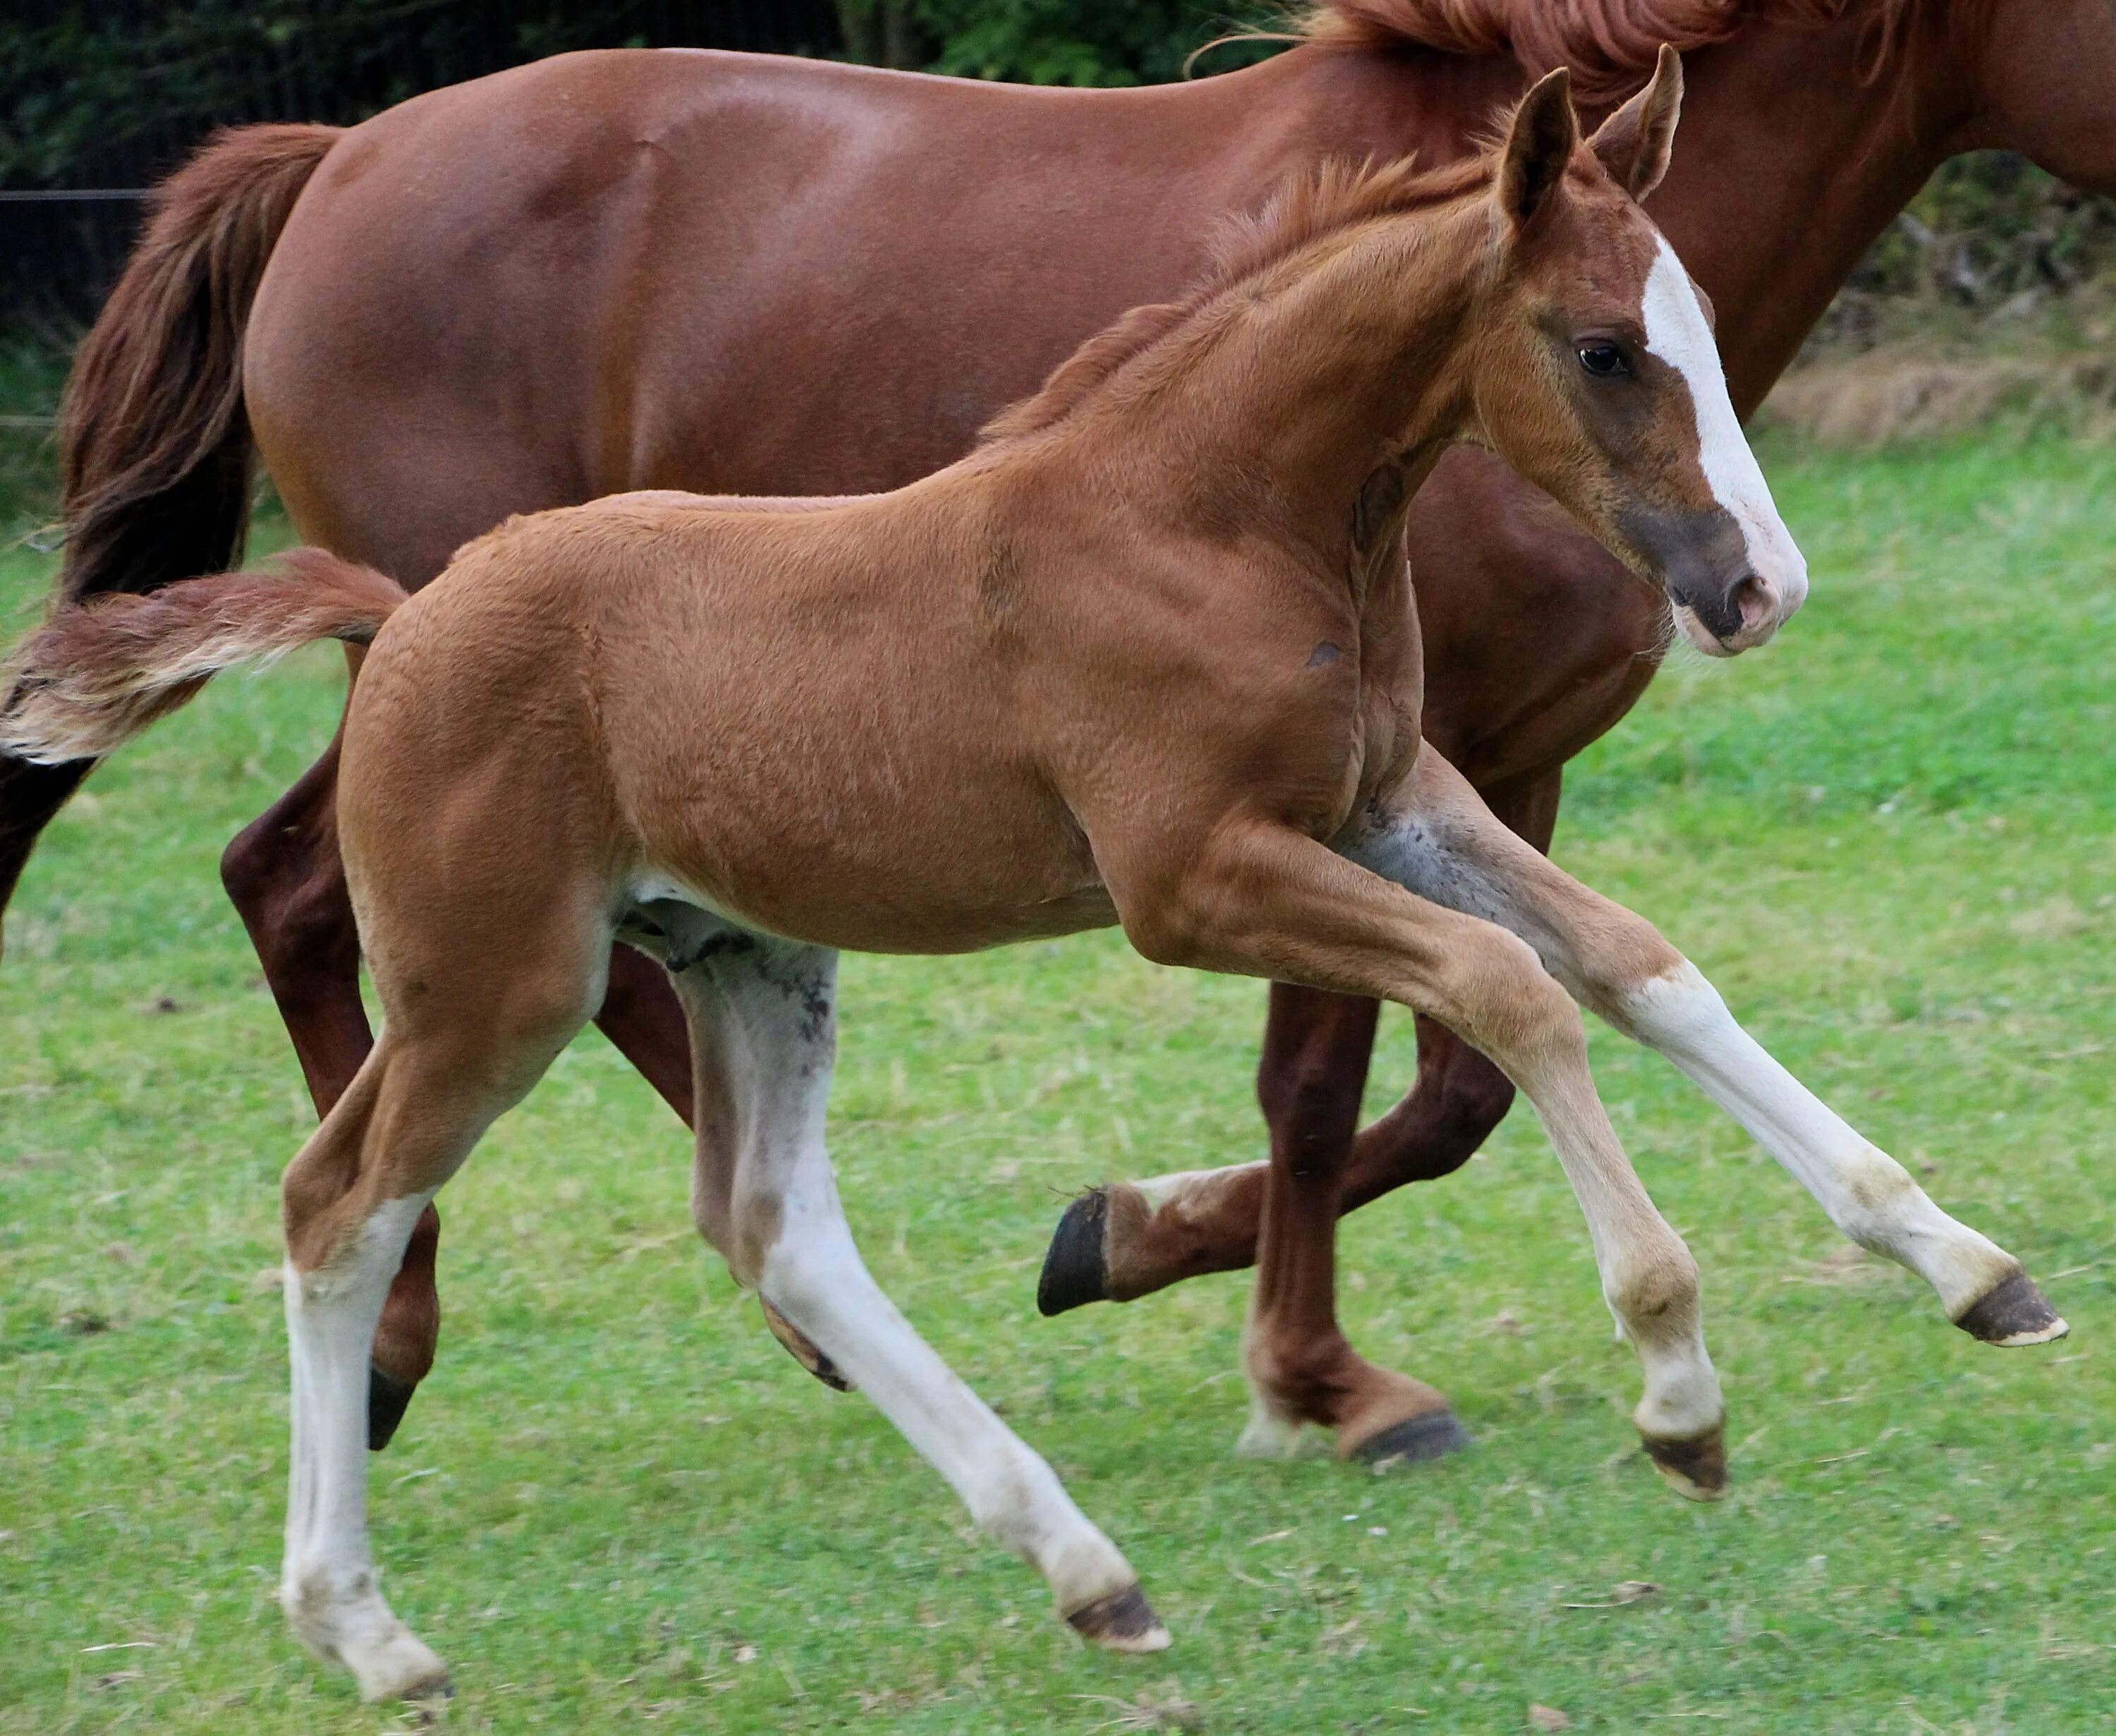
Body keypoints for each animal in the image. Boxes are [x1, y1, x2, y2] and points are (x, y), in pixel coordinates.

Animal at [4, 68, 2031, 1693]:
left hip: (747, 955)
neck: (1211, 511)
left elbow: (1633, 963)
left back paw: (1083, 1567)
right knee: (337, 1203)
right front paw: (1678, 1389)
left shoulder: (1392, 802)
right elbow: (1511, 993)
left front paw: (1967, 1265)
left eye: (1698, 318)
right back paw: (367, 1629)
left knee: (771, 1224)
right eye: (1607, 346)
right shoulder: (1196, 877)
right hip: (496, 983)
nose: (1752, 585)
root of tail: (406, 607)